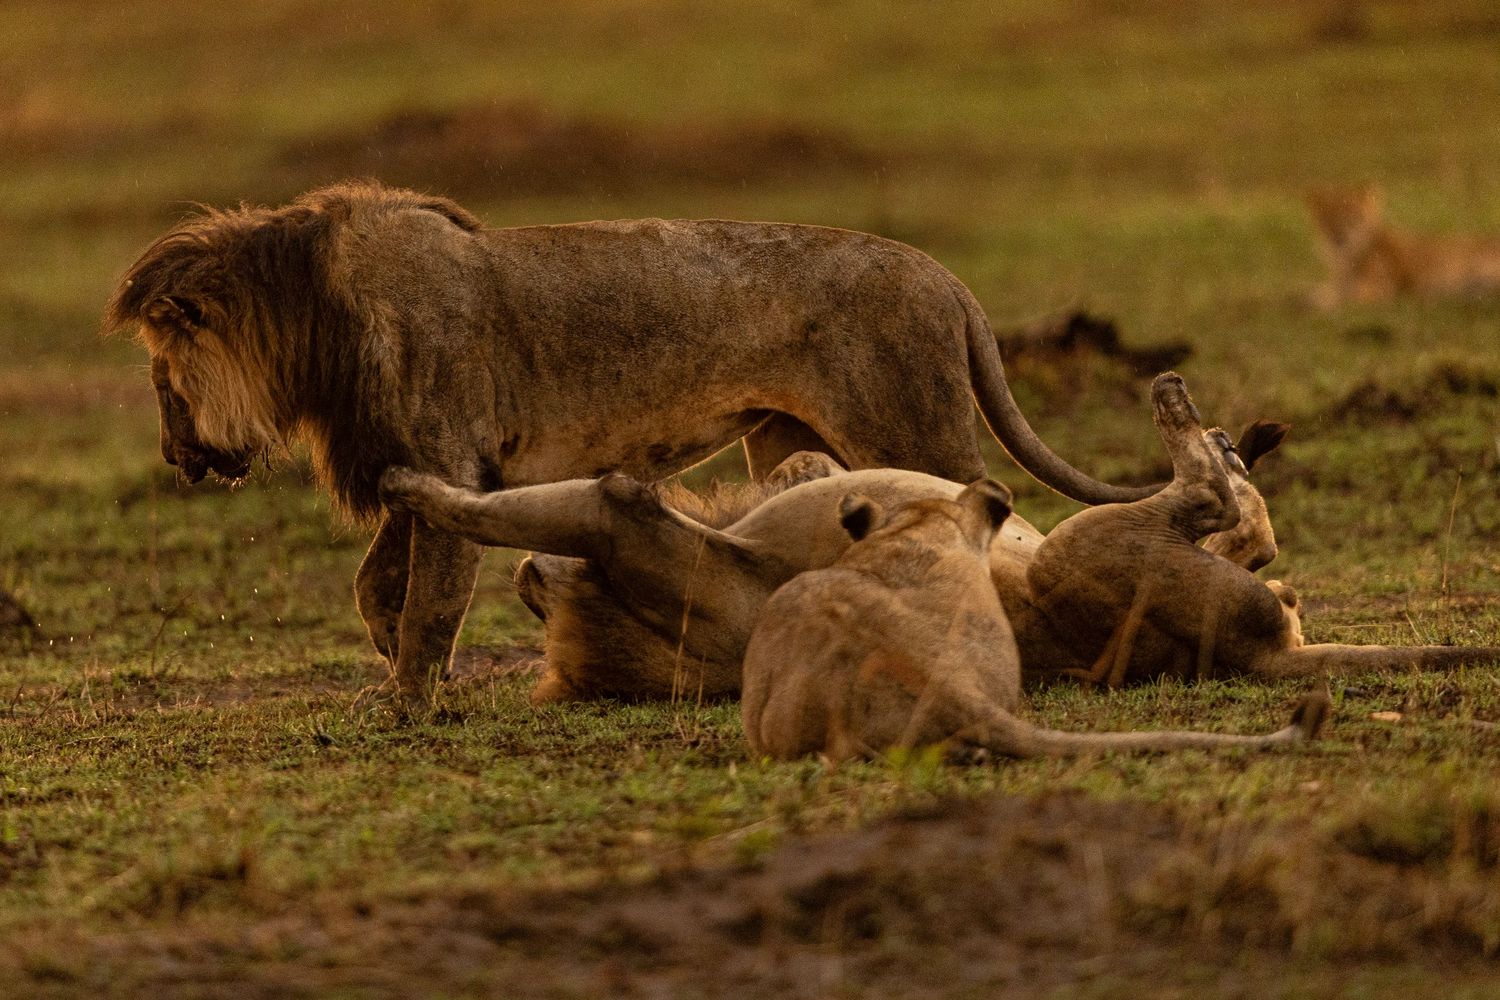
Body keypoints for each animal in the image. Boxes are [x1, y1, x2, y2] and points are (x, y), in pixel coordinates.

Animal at [104, 182, 1156, 698]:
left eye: (160, 375)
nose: (172, 457)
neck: (309, 326)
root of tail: (949, 280)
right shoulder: (412, 467)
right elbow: (379, 586)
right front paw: (391, 676)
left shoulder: (447, 460)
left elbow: (431, 601)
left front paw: (405, 703)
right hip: (787, 440)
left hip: (913, 421)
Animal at [1306, 183, 1500, 308]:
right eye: (1328, 217)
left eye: (1353, 215)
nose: (1337, 236)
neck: (1345, 260)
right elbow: (1320, 291)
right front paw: (1308, 299)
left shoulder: (1383, 288)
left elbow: (1351, 297)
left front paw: (1324, 304)